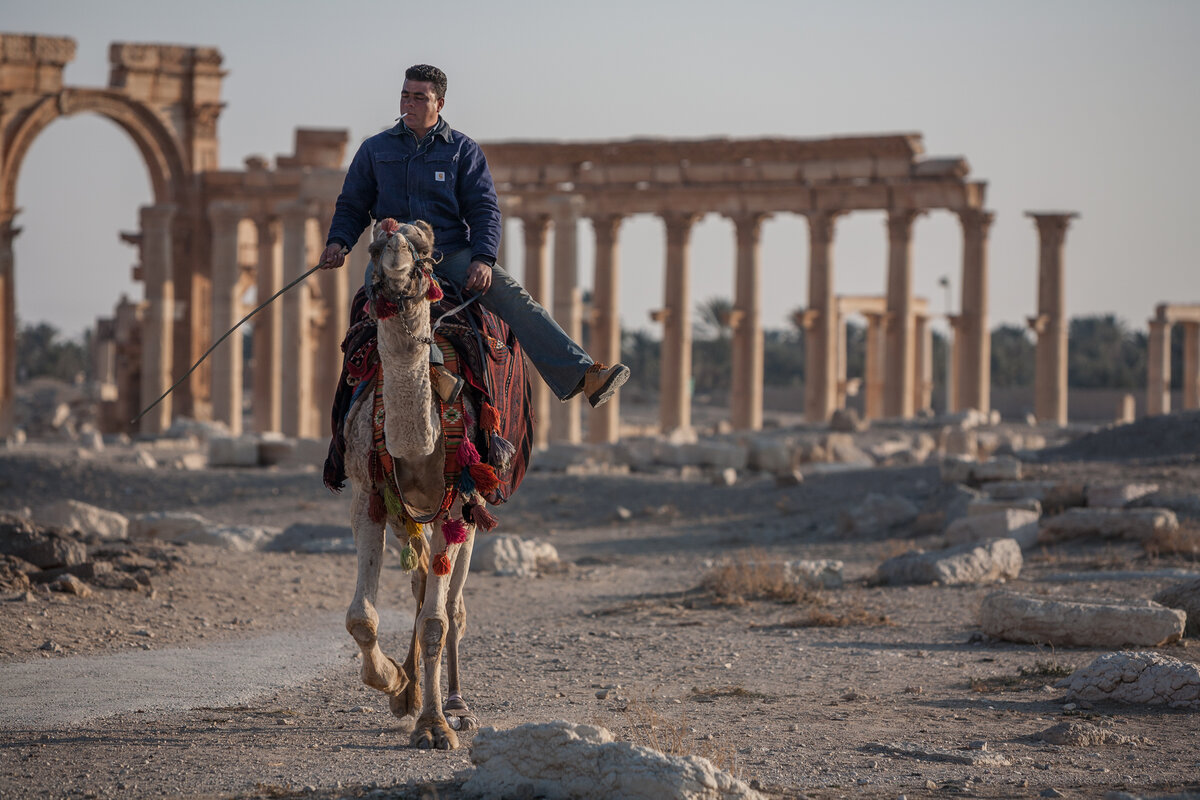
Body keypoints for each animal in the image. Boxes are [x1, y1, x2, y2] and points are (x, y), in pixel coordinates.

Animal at [338, 219, 511, 753]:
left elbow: (436, 621)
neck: (419, 443)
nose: (396, 253)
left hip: (473, 511)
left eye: (427, 254)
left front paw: (435, 727)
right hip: (407, 515)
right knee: (417, 588)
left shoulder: (456, 507)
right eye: (374, 245)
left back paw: (456, 705)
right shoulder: (368, 495)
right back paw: (411, 692)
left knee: (453, 607)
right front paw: (394, 684)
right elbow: (362, 616)